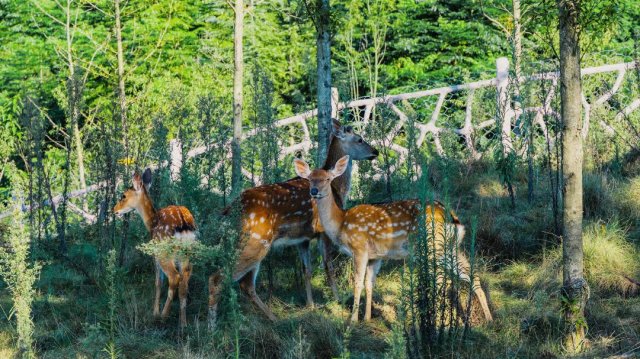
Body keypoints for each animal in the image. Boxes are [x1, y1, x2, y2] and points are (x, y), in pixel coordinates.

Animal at [112, 169, 196, 330]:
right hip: (188, 254)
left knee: (174, 278)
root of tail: (183, 225)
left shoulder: (154, 253)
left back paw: (162, 316)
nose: (114, 210)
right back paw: (183, 324)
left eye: (123, 195)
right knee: (184, 283)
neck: (150, 222)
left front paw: (155, 311)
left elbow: (158, 282)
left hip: (165, 252)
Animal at [210, 121, 378, 326]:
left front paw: (310, 305)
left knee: (245, 284)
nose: (375, 151)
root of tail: (229, 210)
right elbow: (328, 266)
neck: (337, 191)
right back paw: (212, 326)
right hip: (255, 241)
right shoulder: (324, 231)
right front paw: (337, 300)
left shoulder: (302, 238)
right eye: (359, 139)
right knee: (222, 279)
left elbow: (307, 270)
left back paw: (274, 318)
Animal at [292, 156, 492, 324]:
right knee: (471, 274)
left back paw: (436, 321)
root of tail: (451, 217)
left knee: (442, 279)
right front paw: (367, 318)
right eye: (310, 178)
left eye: (327, 179)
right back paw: (489, 320)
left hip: (432, 246)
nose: (314, 191)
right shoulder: (376, 256)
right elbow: (369, 283)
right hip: (450, 247)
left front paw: (353, 320)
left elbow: (357, 283)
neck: (341, 223)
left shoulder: (359, 248)